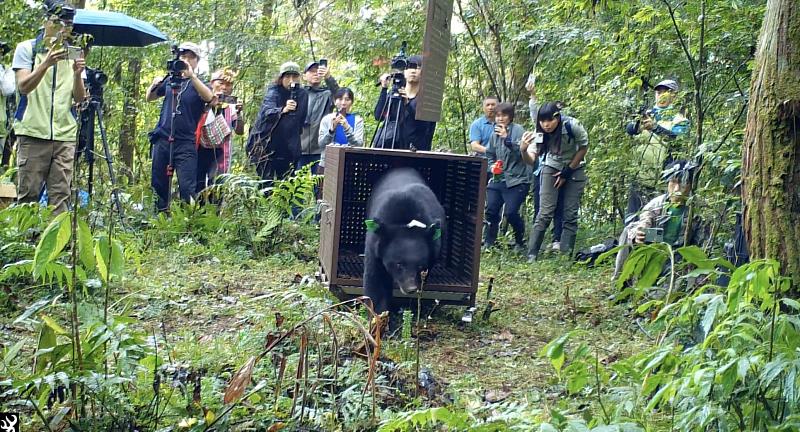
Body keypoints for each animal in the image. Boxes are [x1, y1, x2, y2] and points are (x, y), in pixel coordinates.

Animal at [362, 166, 444, 314]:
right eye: (399, 264)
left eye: (420, 266)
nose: (410, 289)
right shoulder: (375, 246)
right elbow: (375, 282)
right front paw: (379, 315)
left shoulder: (433, 251)